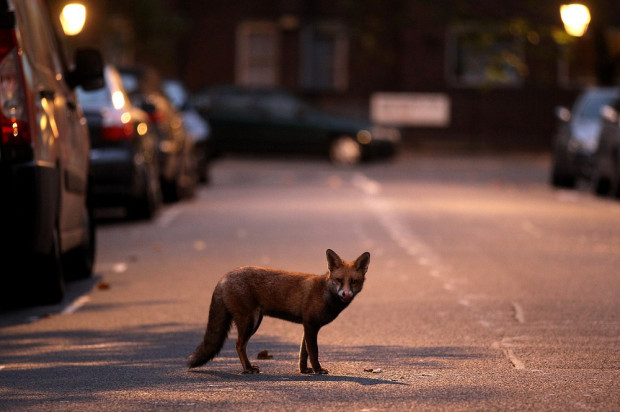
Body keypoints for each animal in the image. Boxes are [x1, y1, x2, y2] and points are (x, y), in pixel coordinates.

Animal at [186, 249, 370, 374]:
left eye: (353, 281)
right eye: (339, 280)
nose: (346, 294)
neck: (325, 293)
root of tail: (224, 276)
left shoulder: (306, 326)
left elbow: (303, 353)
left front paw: (304, 371)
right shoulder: (311, 325)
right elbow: (314, 352)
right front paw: (318, 370)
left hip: (255, 320)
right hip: (250, 321)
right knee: (239, 345)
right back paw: (248, 369)